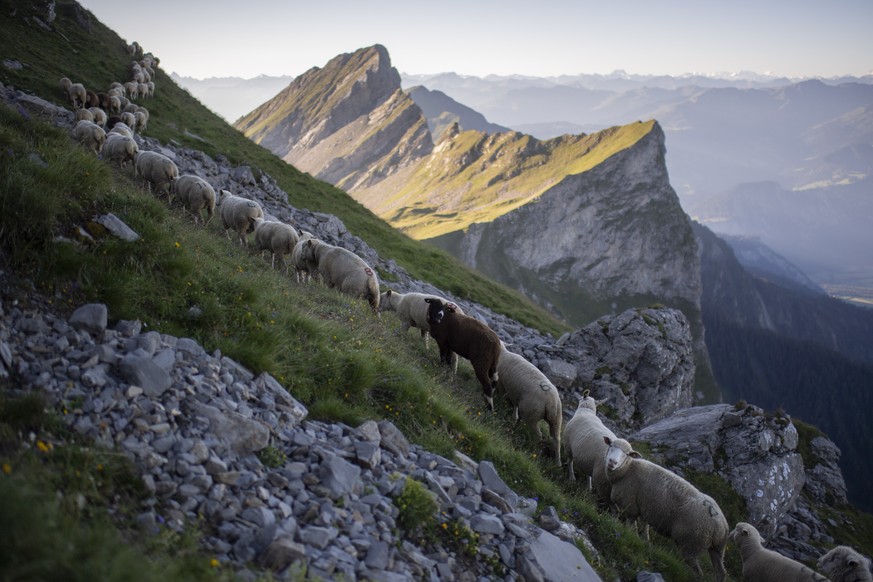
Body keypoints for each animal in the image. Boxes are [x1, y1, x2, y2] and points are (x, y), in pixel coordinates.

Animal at [604, 438, 724, 582]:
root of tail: (720, 525)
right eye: (611, 445)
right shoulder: (644, 509)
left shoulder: (631, 507)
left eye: (627, 454)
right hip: (717, 549)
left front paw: (629, 536)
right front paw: (645, 541)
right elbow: (644, 528)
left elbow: (630, 526)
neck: (627, 470)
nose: (612, 462)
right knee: (720, 572)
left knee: (697, 572)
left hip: (691, 544)